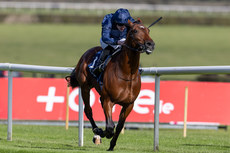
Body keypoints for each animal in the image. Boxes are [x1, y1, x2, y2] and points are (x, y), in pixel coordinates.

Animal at [67, 18, 156, 151]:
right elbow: (110, 126)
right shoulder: (108, 99)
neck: (126, 74)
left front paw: (111, 145)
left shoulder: (129, 104)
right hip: (85, 87)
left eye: (148, 30)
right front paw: (102, 133)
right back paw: (97, 130)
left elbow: (118, 126)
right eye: (134, 31)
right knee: (88, 110)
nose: (150, 44)